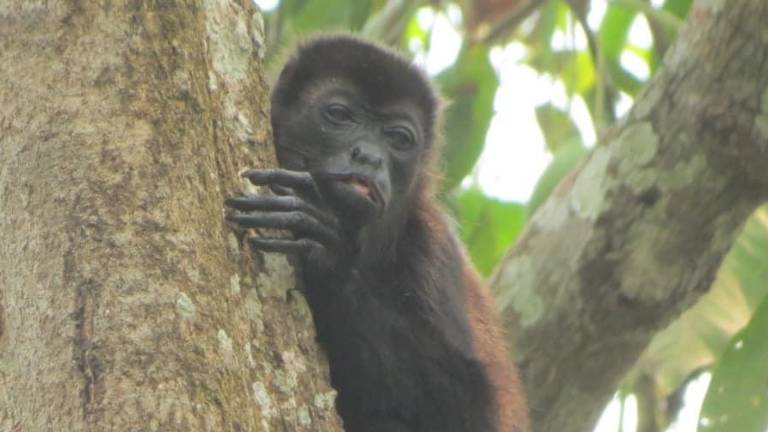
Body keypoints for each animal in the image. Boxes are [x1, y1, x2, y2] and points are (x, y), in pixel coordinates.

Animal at [225, 35, 528, 432]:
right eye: (339, 115)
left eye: (397, 138)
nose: (369, 156)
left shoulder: (432, 250)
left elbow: (470, 410)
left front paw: (331, 256)